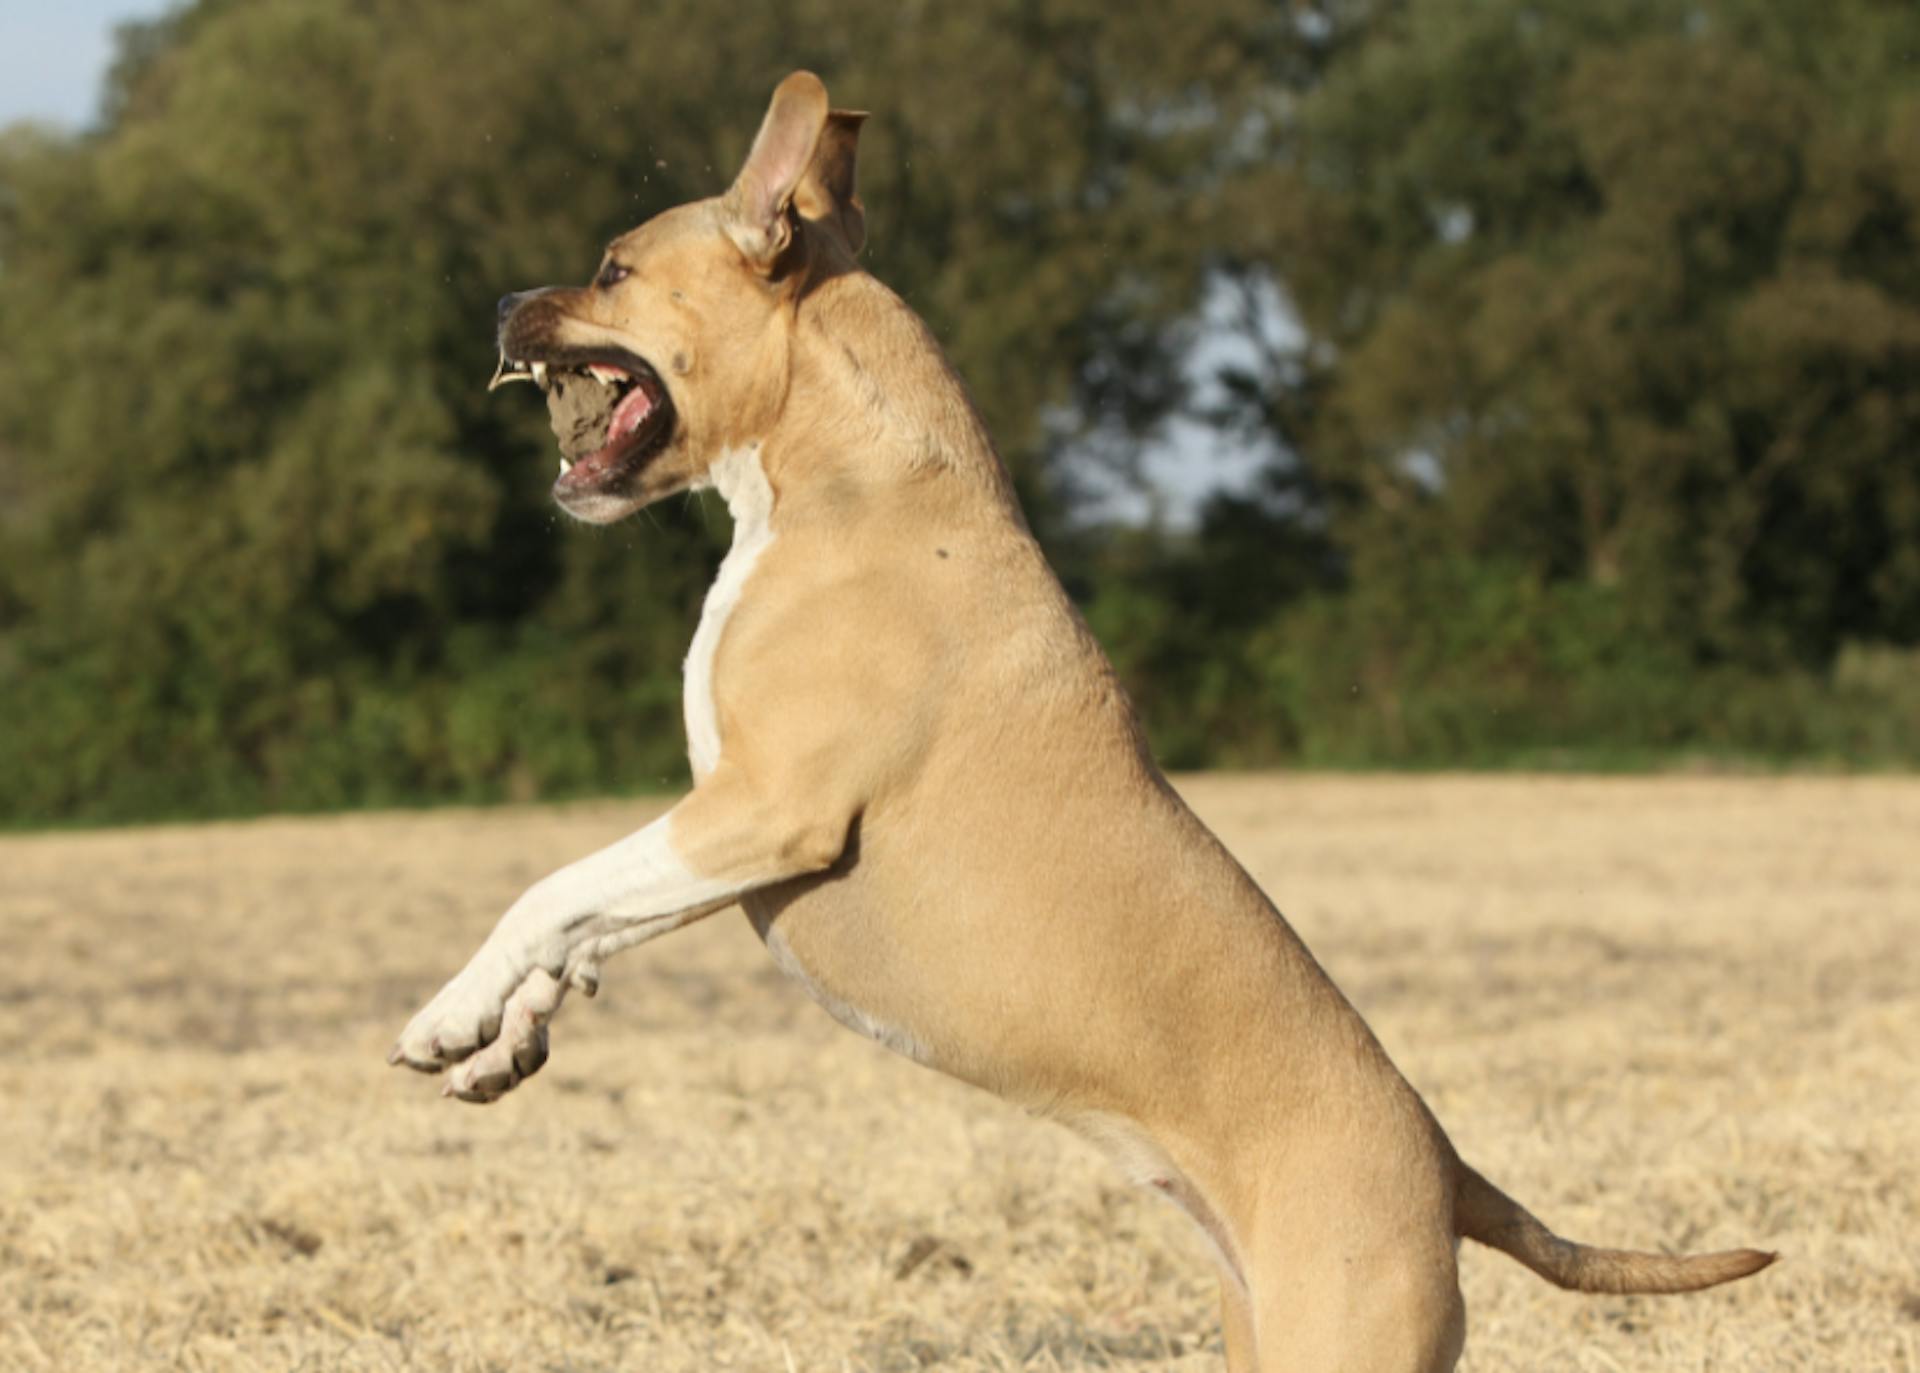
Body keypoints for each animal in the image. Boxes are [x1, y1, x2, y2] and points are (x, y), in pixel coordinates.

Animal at [389, 75, 1766, 1373]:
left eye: (615, 268)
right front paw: (504, 1037)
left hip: (1344, 1330)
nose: (501, 301)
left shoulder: (764, 808)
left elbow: (551, 888)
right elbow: (588, 917)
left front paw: (448, 1012)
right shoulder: (719, 832)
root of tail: (1449, 1169)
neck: (841, 470)